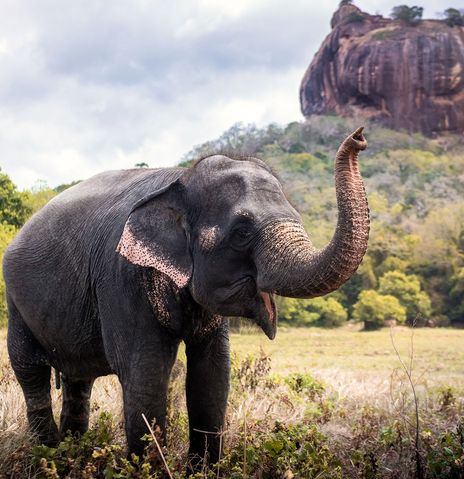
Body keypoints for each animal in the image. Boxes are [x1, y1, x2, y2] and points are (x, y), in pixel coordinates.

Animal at [1, 127, 368, 472]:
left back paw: (69, 456)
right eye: (242, 232)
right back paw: (46, 456)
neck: (179, 179)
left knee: (78, 383)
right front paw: (148, 469)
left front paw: (202, 471)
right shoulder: (122, 277)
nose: (360, 137)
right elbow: (145, 373)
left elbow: (212, 373)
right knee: (31, 373)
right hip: (16, 303)